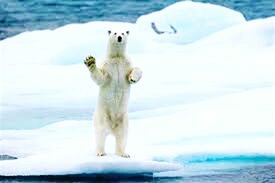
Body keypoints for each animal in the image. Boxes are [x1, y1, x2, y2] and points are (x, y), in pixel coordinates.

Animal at [84, 29, 143, 157]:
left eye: (124, 32)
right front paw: (90, 61)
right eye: (115, 33)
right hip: (102, 117)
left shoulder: (126, 64)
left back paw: (123, 154)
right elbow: (100, 78)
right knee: (100, 135)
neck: (117, 57)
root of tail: (111, 129)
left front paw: (133, 78)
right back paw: (101, 152)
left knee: (122, 136)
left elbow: (137, 69)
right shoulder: (107, 66)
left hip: (124, 119)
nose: (120, 37)